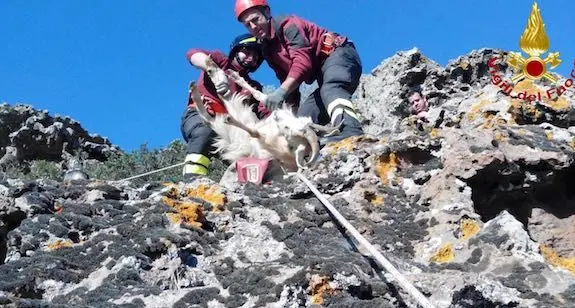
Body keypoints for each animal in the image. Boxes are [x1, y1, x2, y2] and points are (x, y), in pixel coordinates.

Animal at [189, 56, 342, 172]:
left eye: (288, 130)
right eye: (289, 125)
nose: (276, 116)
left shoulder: (262, 141)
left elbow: (253, 132)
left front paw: (229, 119)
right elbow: (259, 96)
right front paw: (235, 76)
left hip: (232, 130)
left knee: (211, 115)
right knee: (222, 98)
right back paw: (214, 73)